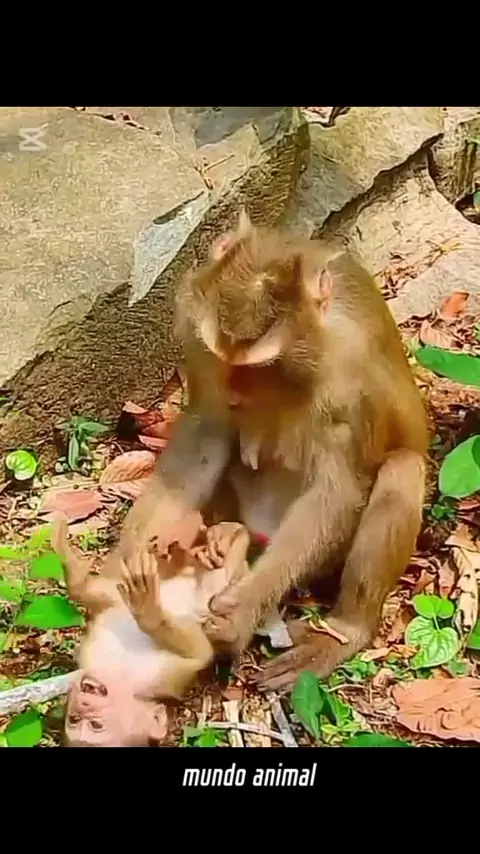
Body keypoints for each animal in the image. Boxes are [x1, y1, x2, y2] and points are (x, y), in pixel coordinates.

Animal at [51, 517, 250, 746]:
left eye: (94, 725)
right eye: (76, 720)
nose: (83, 703)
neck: (117, 671)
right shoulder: (166, 678)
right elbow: (201, 652)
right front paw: (149, 613)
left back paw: (228, 537)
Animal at [114, 208, 429, 693]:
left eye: (262, 366)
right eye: (223, 358)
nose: (235, 392)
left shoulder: (351, 376)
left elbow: (337, 492)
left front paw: (242, 611)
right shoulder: (197, 347)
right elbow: (207, 432)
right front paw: (126, 552)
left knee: (402, 469)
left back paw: (343, 629)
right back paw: (219, 541)